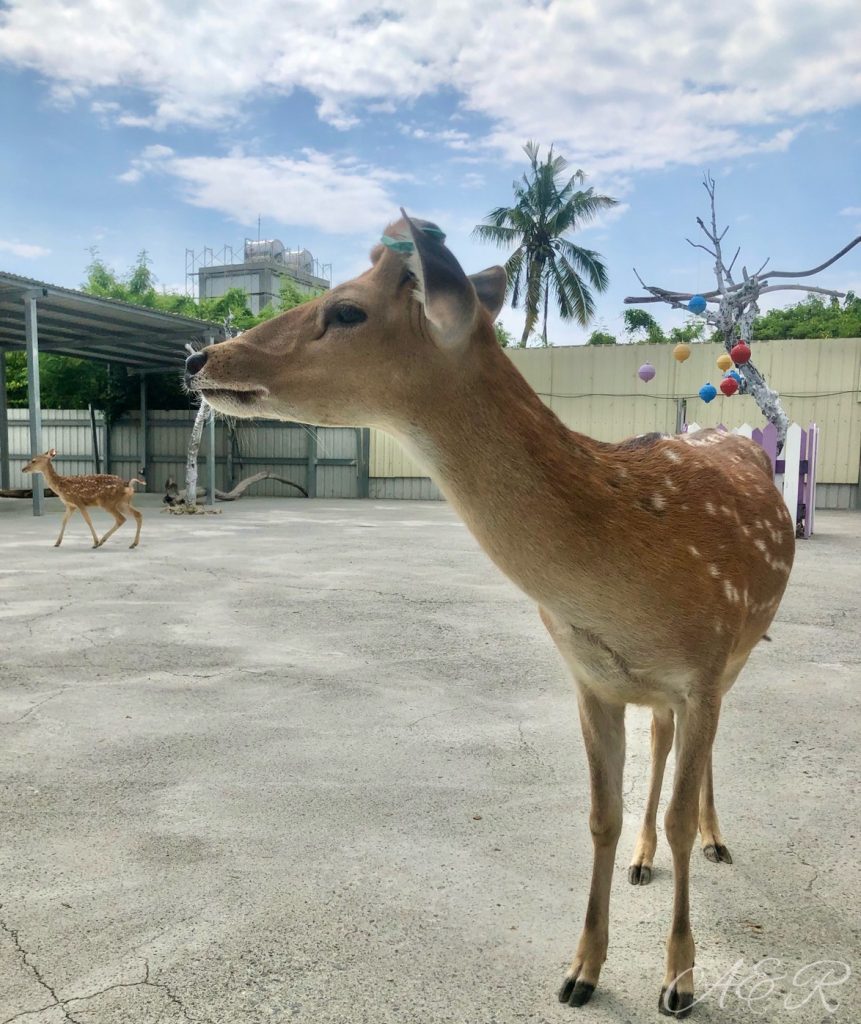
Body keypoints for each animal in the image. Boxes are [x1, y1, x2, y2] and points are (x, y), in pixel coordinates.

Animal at [184, 214, 794, 1015]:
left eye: (346, 310)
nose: (200, 358)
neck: (627, 578)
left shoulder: (703, 661)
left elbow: (679, 819)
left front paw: (678, 982)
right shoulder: (589, 677)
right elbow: (600, 816)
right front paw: (580, 970)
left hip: (738, 651)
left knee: (698, 765)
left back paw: (719, 839)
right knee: (660, 743)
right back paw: (640, 860)